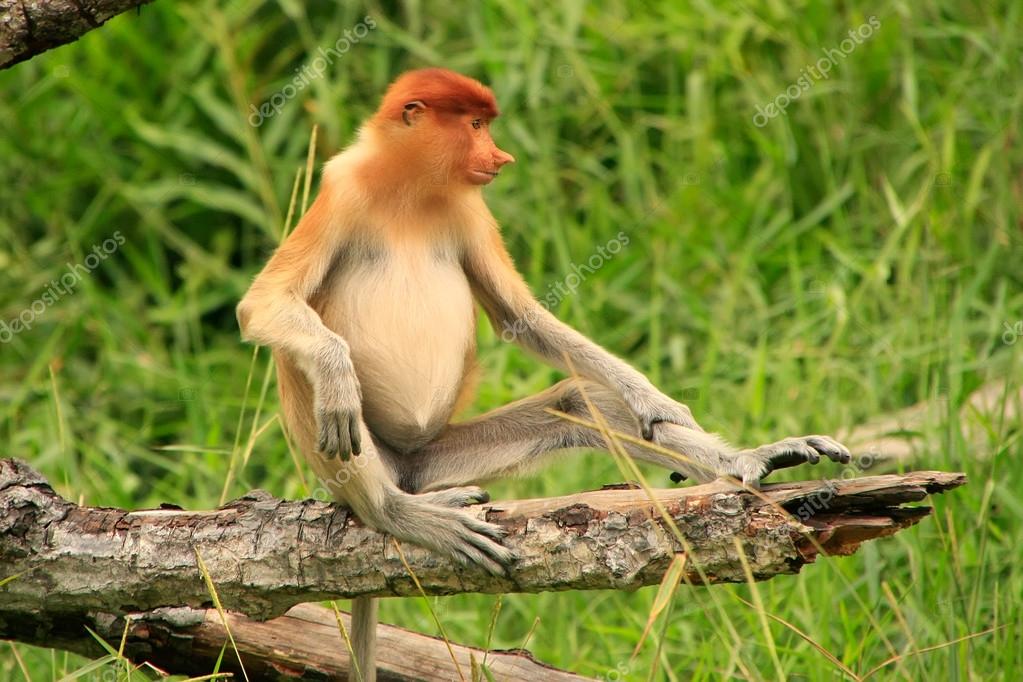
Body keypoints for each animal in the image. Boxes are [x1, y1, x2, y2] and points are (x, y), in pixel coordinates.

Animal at [236, 67, 851, 681]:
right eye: (475, 124)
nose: (500, 156)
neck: (411, 190)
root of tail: (406, 470)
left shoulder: (471, 211)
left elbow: (524, 319)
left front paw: (654, 400)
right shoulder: (341, 193)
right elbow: (262, 305)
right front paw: (337, 376)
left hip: (438, 460)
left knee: (578, 399)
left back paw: (746, 461)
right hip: (353, 455)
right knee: (304, 363)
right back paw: (394, 510)